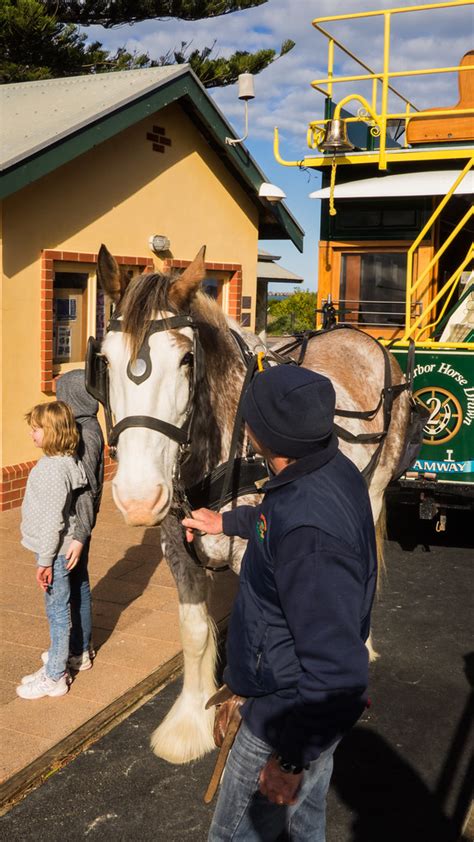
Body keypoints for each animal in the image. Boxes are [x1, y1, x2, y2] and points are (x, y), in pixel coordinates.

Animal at [94, 243, 410, 760]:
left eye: (187, 359)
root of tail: (356, 334)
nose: (138, 498)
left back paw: (360, 645)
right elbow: (194, 631)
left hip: (376, 486)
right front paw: (191, 723)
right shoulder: (177, 547)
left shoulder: (253, 551)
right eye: (103, 359)